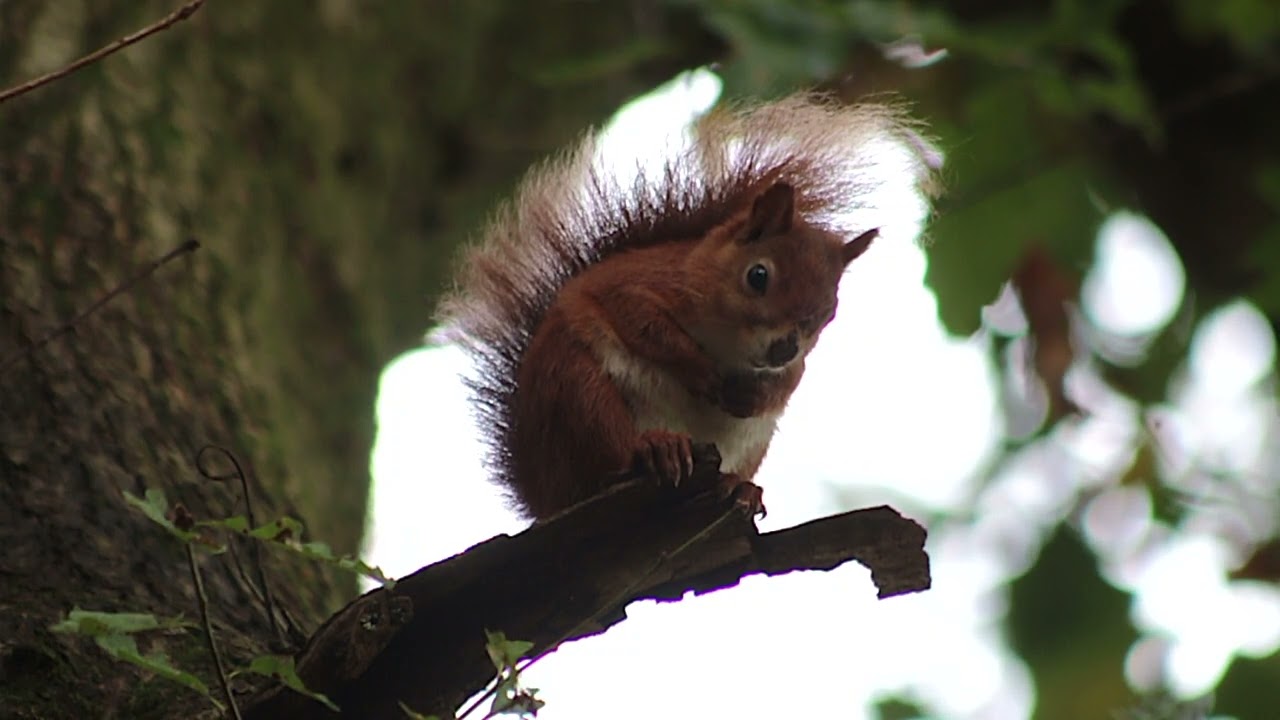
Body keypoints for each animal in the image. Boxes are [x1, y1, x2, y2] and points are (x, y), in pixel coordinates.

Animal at [440, 93, 938, 521]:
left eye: (829, 313)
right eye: (758, 276)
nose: (783, 348)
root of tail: (545, 497)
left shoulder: (790, 370)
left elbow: (787, 384)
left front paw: (754, 394)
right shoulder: (637, 286)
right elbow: (645, 325)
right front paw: (702, 372)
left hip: (750, 443)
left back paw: (739, 487)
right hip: (579, 389)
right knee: (609, 458)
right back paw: (655, 447)